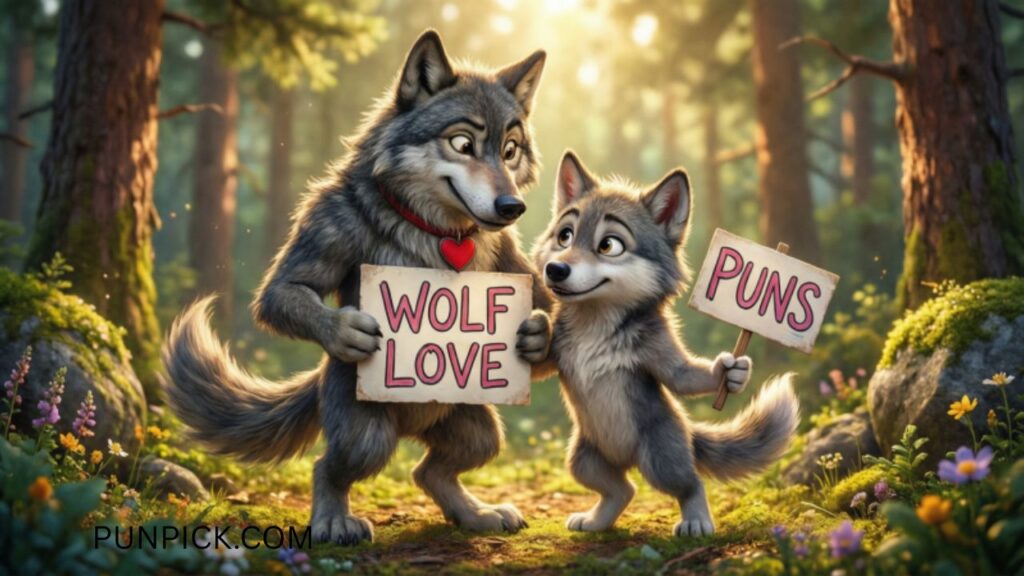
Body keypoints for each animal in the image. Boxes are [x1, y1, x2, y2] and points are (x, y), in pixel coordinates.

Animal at [162, 30, 555, 545]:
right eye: (463, 143)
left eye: (510, 150)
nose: (512, 207)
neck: (434, 231)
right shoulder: (328, 225)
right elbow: (281, 295)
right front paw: (348, 331)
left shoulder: (512, 256)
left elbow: (548, 307)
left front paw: (535, 334)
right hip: (367, 436)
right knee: (328, 467)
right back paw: (333, 521)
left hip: (478, 429)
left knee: (432, 470)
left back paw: (477, 514)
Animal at [531, 151, 799, 537]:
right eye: (564, 236)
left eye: (608, 245)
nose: (554, 270)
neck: (595, 324)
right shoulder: (562, 352)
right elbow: (541, 362)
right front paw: (533, 332)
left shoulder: (657, 347)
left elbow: (683, 376)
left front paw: (731, 372)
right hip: (583, 459)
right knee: (622, 489)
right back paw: (596, 521)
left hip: (661, 457)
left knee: (690, 484)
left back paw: (697, 521)